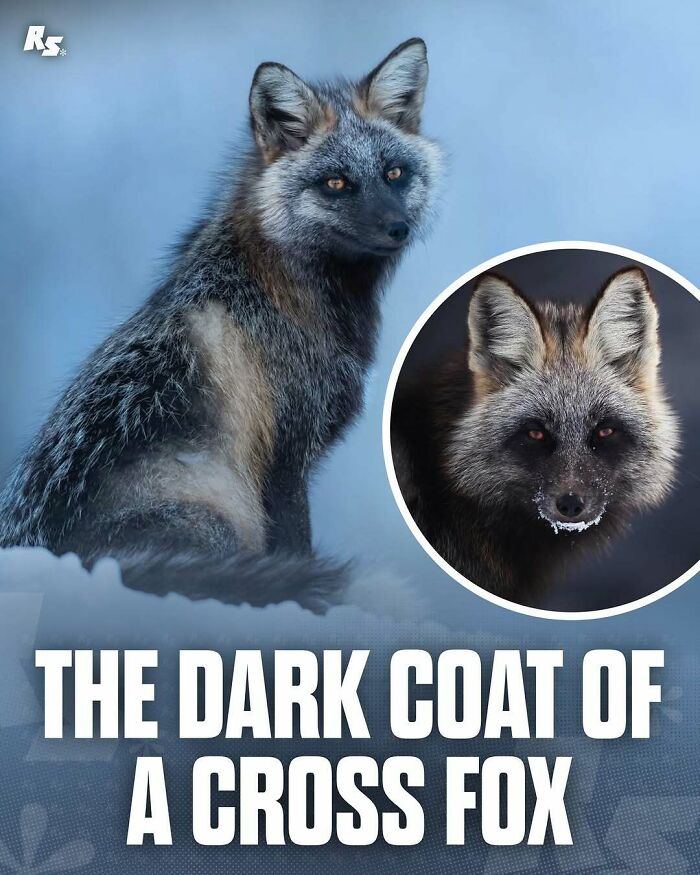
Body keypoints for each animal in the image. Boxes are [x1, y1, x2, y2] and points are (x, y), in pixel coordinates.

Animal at [0, 39, 442, 611]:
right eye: (336, 183)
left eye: (393, 174)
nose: (398, 228)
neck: (279, 289)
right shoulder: (285, 457)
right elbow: (297, 551)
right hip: (218, 519)